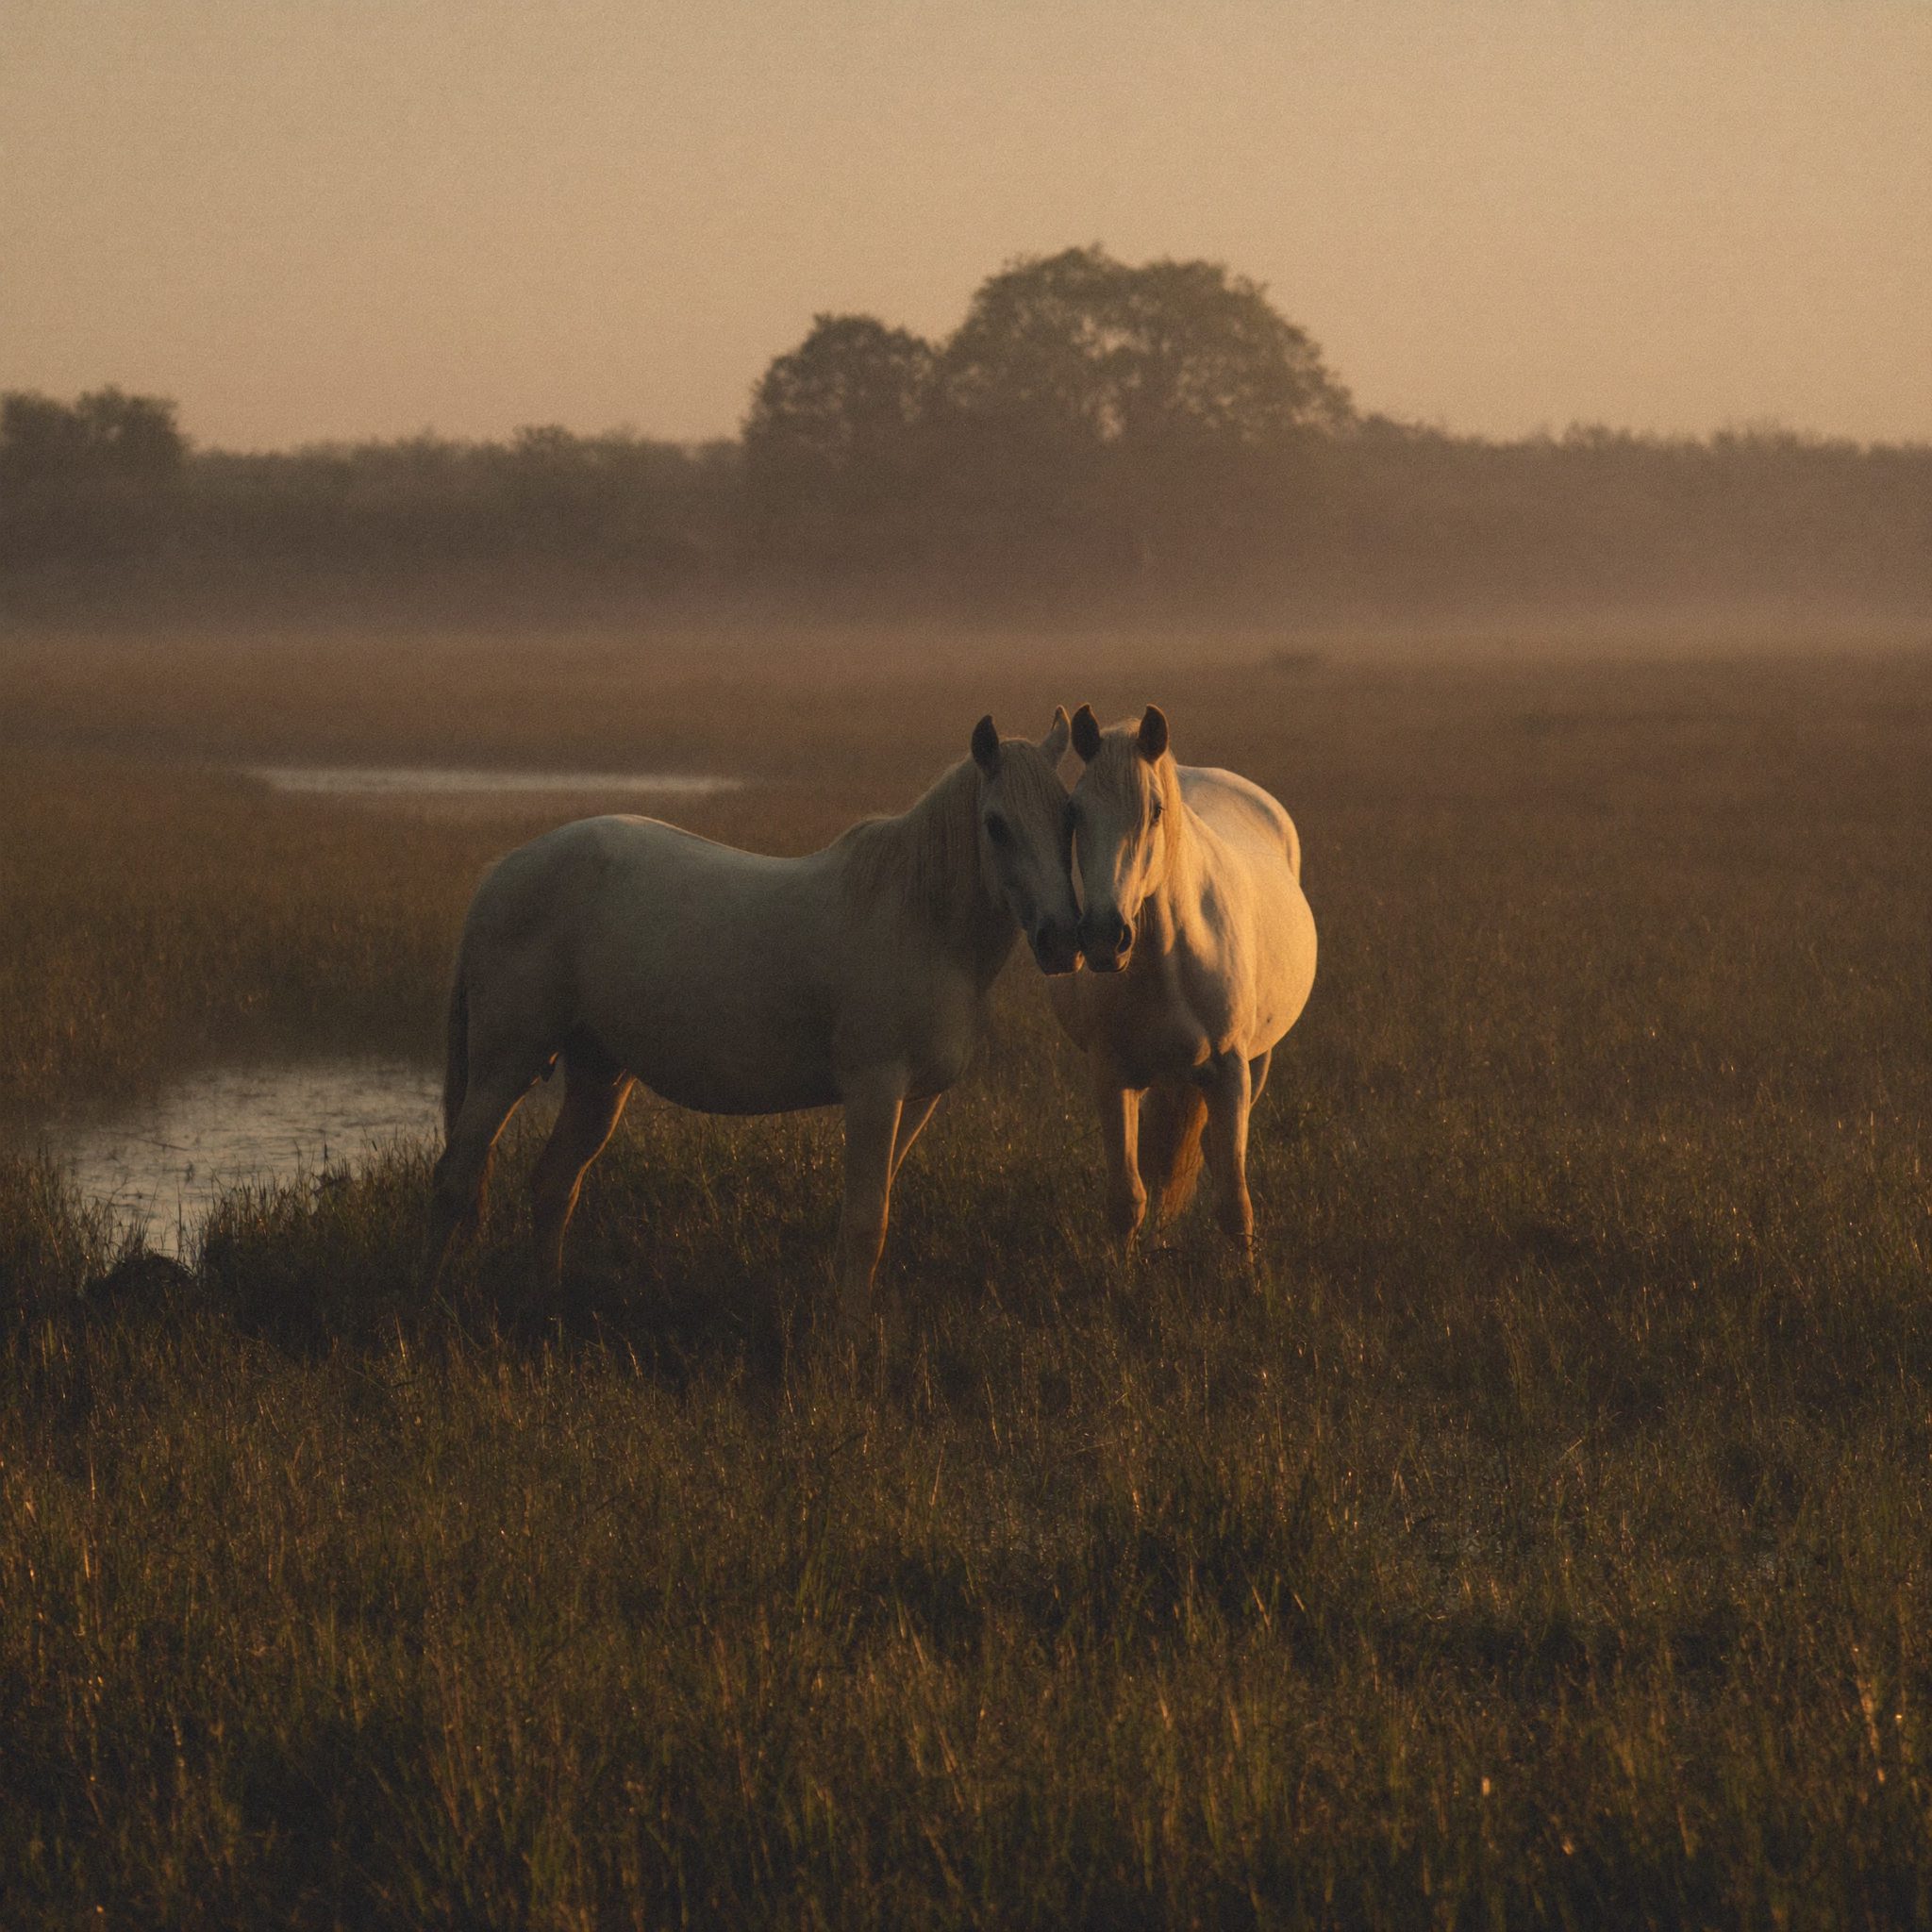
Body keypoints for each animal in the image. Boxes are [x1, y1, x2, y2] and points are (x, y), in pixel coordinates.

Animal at [421, 711, 1079, 1336]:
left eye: (1069, 819)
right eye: (996, 824)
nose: (1061, 941)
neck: (921, 923)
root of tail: (502, 873)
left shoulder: (915, 1101)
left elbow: (875, 1213)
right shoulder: (874, 1090)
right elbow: (865, 1223)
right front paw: (848, 1345)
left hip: (599, 1076)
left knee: (554, 1185)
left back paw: (547, 1311)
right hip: (506, 1066)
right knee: (453, 1180)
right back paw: (423, 1304)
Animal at [1048, 704, 1316, 1248]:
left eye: (1155, 811)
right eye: (1074, 813)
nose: (1105, 936)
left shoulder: (1230, 1074)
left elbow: (1234, 1204)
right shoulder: (1112, 1076)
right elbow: (1128, 1198)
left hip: (1257, 1061)